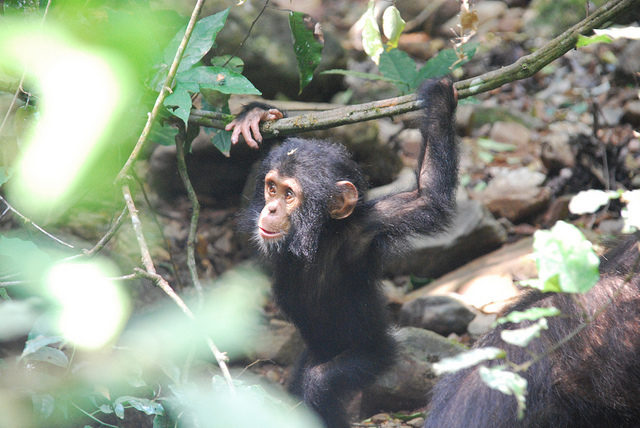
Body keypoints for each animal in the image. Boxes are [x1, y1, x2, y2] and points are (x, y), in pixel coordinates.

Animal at [228, 78, 458, 426]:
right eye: (271, 187)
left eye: (289, 194)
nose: (270, 209)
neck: (319, 236)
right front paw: (257, 114)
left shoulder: (367, 228)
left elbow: (427, 197)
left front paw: (442, 101)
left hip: (374, 356)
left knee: (319, 384)